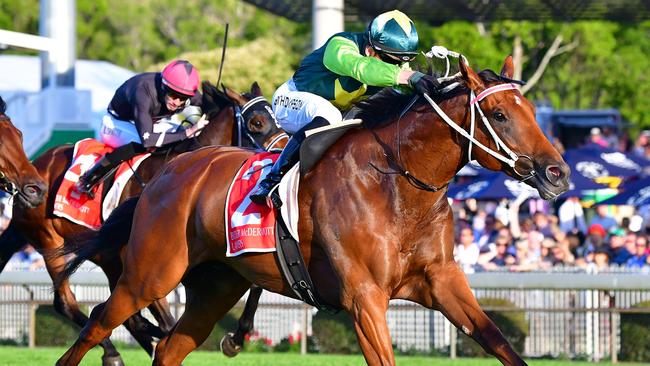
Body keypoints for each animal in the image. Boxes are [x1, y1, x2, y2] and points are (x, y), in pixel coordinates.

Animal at [0, 83, 284, 366]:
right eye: (257, 122)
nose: (281, 154)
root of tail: (36, 166)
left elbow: (254, 281)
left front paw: (236, 337)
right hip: (51, 241)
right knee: (68, 303)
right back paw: (115, 351)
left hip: (108, 260)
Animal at [58, 55, 568, 364]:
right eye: (499, 115)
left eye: (533, 111)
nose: (558, 173)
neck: (397, 185)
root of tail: (167, 171)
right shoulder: (364, 297)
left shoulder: (441, 281)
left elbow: (500, 342)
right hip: (150, 273)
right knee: (98, 323)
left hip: (214, 287)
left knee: (168, 348)